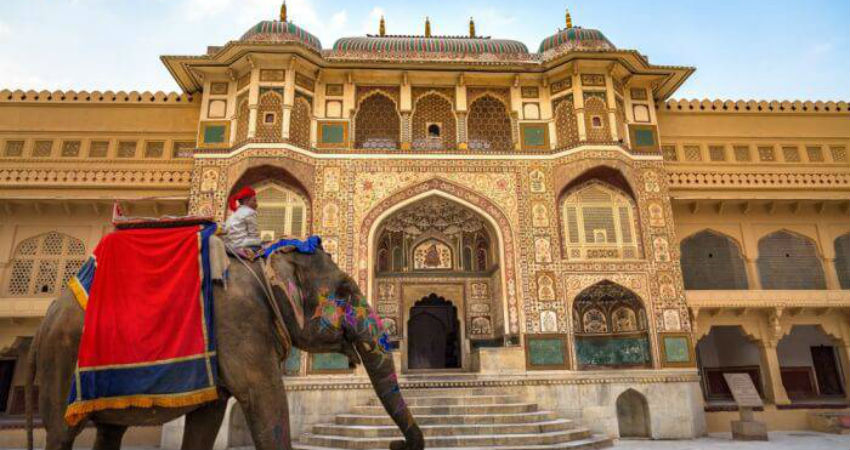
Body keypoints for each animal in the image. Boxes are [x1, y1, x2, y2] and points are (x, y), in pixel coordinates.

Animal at [24, 243, 422, 450]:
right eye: (345, 290)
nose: (395, 444)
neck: (262, 267)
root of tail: (46, 318)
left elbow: (209, 419)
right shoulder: (238, 323)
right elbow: (267, 400)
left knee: (110, 430)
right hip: (61, 358)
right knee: (61, 433)